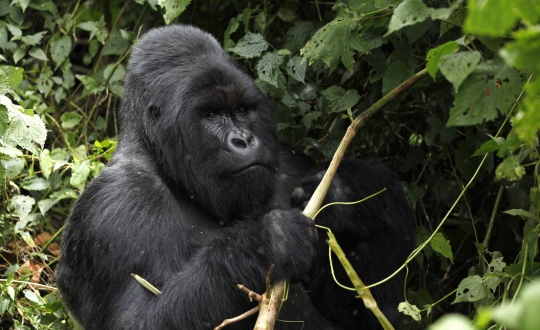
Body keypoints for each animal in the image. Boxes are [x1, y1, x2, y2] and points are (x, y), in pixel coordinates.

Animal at [56, 25, 414, 330]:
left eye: (242, 110)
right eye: (212, 114)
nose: (243, 139)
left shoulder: (285, 162)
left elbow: (370, 311)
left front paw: (340, 194)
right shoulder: (114, 206)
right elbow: (134, 321)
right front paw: (268, 242)